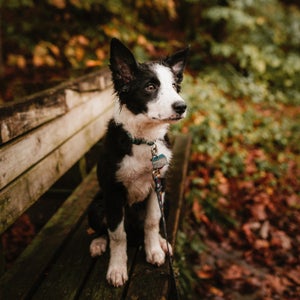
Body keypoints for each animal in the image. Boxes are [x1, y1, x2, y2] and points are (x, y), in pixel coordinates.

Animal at [88, 38, 189, 288]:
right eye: (150, 87)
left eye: (175, 86)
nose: (182, 107)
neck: (144, 140)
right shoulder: (114, 193)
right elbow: (117, 235)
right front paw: (116, 269)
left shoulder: (158, 185)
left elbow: (152, 222)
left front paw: (154, 251)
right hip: (96, 206)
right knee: (104, 229)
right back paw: (98, 243)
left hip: (167, 200)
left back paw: (162, 242)